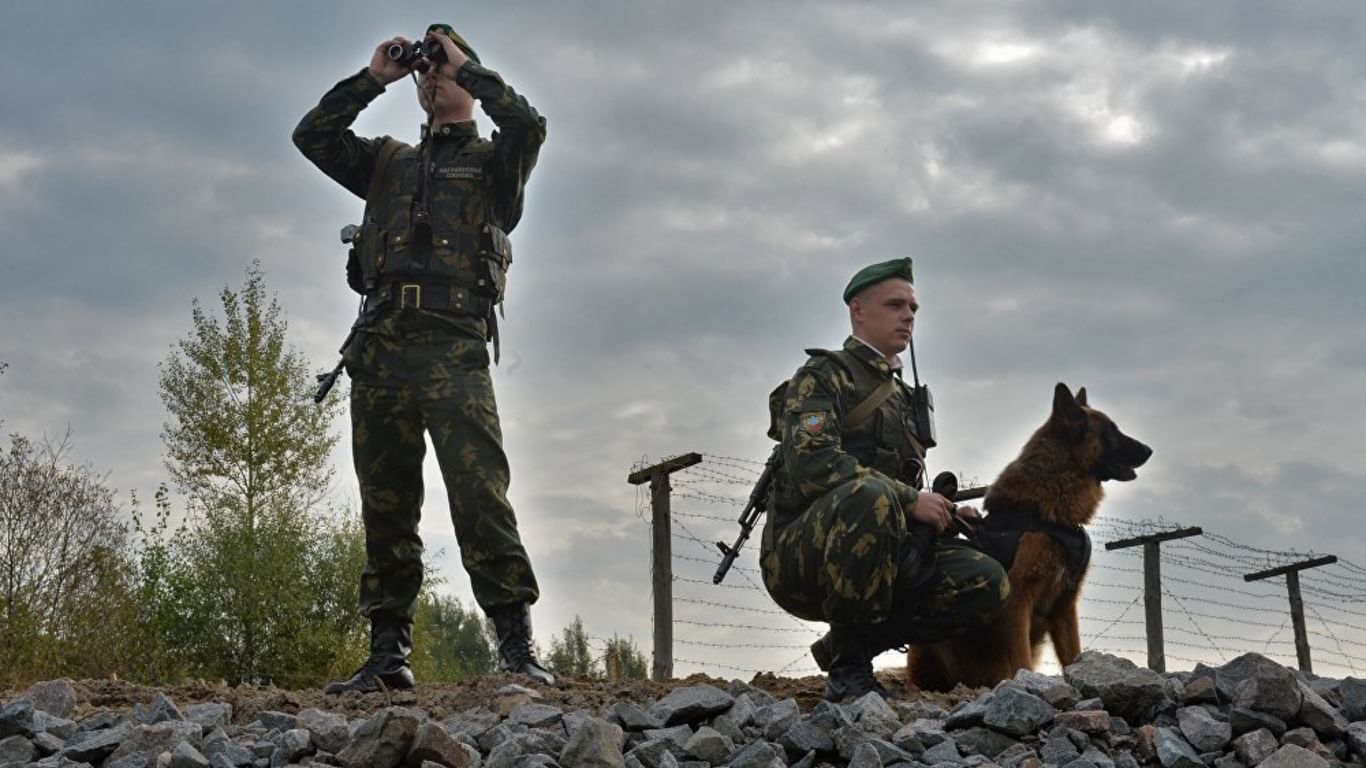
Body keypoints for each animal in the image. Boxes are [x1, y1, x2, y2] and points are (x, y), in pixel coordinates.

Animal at [907, 382, 1152, 688]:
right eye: (1110, 431)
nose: (1149, 450)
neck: (1047, 512)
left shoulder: (1064, 607)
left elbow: (1073, 656)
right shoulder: (1018, 601)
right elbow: (1020, 660)